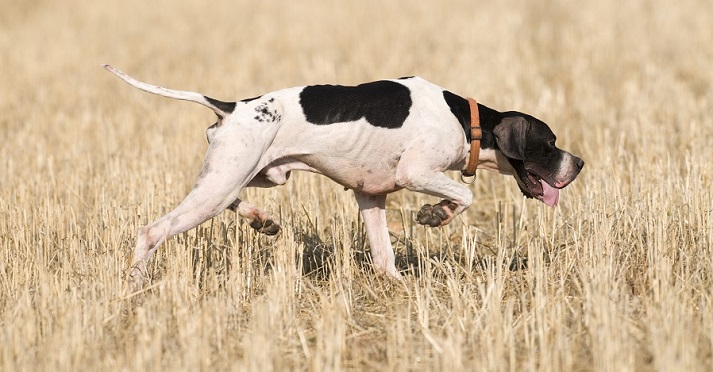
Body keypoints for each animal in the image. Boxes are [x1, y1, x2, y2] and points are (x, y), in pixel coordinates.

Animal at [104, 65, 584, 292]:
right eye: (549, 143)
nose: (578, 163)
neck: (468, 121)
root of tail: (234, 106)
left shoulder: (370, 197)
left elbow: (385, 260)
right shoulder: (416, 172)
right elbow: (463, 196)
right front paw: (436, 214)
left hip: (250, 176)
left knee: (236, 200)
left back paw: (261, 219)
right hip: (220, 186)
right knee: (153, 231)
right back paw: (132, 289)